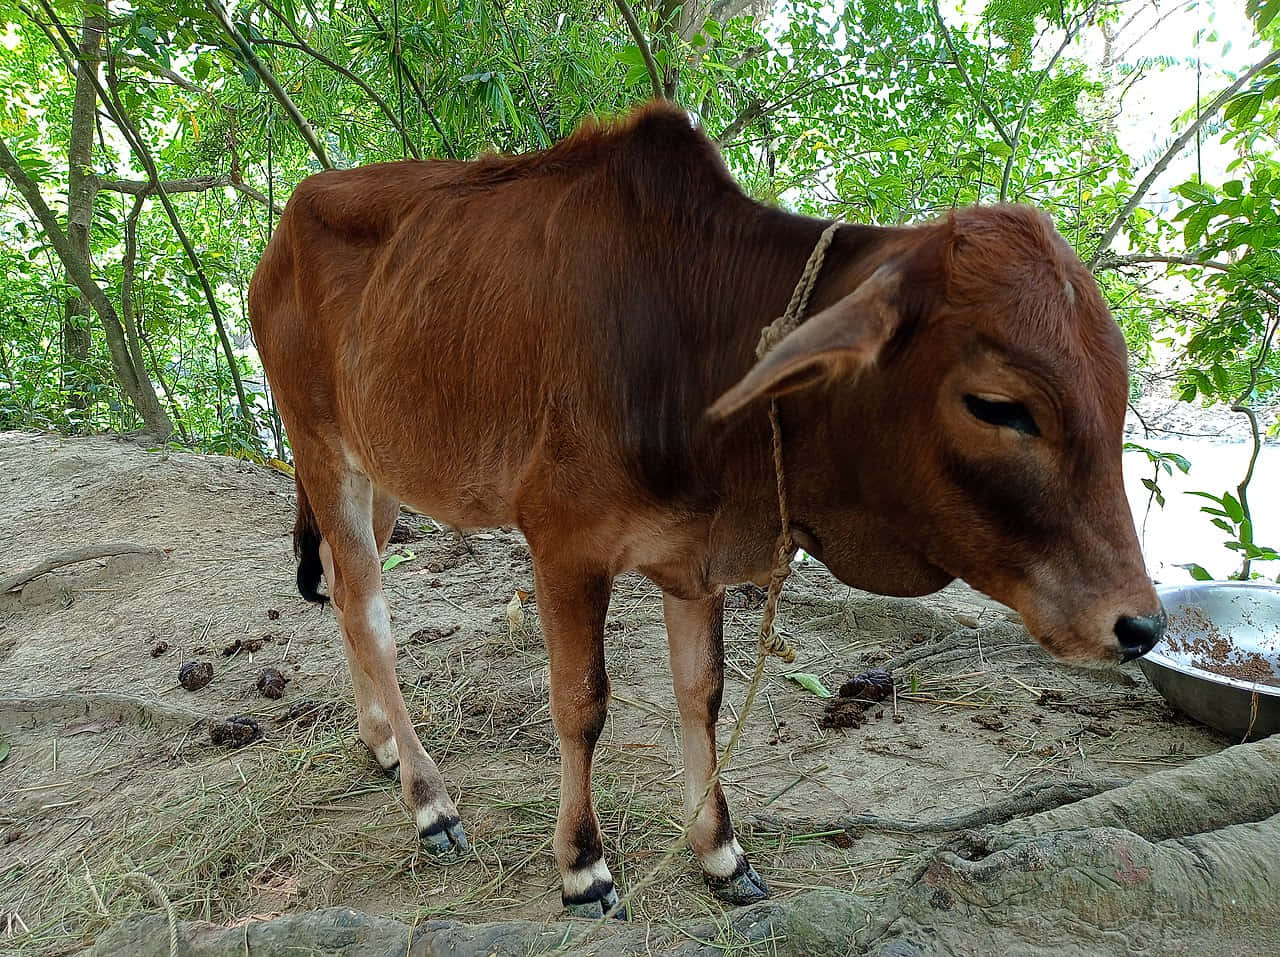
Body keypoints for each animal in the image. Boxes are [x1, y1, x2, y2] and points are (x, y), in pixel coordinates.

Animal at [247, 101, 1162, 916]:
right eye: (1000, 406)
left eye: (1117, 387)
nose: (1141, 624)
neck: (691, 342)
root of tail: (289, 219)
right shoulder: (564, 547)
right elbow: (582, 702)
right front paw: (583, 862)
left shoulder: (698, 558)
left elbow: (704, 691)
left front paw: (721, 850)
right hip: (320, 444)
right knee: (369, 613)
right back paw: (429, 798)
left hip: (379, 473)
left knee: (342, 591)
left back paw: (379, 741)